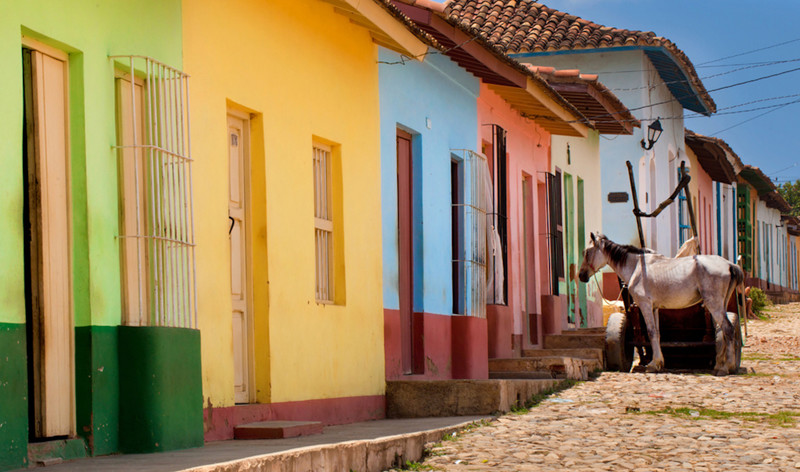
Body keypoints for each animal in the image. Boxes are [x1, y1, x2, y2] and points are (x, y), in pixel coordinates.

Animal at [580, 233, 744, 376]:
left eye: (587, 252)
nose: (581, 275)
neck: (637, 267)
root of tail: (729, 265)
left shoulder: (645, 305)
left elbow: (651, 332)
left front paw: (653, 365)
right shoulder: (654, 308)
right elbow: (657, 333)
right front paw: (658, 362)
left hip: (713, 304)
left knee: (728, 329)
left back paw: (726, 367)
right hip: (720, 304)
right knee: (723, 331)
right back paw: (720, 364)